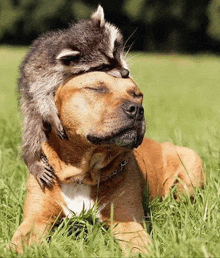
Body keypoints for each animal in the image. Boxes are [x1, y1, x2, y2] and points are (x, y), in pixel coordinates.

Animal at [10, 71, 205, 255]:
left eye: (137, 94)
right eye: (96, 88)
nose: (136, 109)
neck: (82, 174)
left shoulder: (128, 221)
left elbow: (139, 246)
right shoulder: (36, 219)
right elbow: (17, 244)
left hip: (191, 163)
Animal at [19, 5, 129, 188]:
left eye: (115, 50)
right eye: (103, 66)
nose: (126, 73)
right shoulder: (43, 72)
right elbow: (41, 94)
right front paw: (51, 114)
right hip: (27, 101)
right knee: (33, 128)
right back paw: (32, 157)